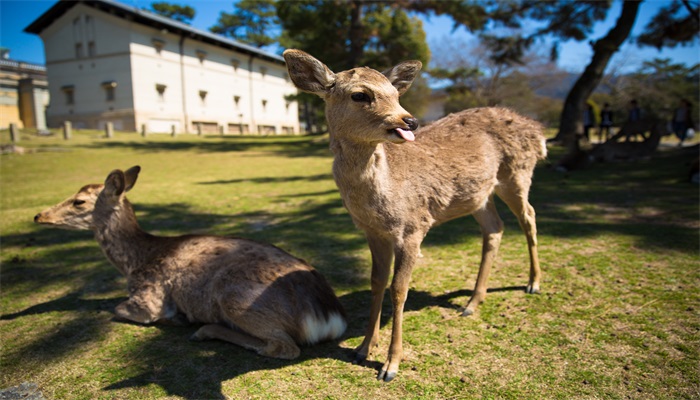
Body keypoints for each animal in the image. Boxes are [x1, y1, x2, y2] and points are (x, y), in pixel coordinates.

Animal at [35, 166, 348, 360]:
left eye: (78, 201)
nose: (39, 215)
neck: (133, 263)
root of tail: (329, 317)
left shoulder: (147, 295)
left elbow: (120, 309)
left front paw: (172, 317)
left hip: (236, 298)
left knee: (282, 347)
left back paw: (201, 329)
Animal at [284, 50, 548, 382]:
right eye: (360, 94)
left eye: (396, 94)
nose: (410, 120)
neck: (384, 198)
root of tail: (539, 132)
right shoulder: (372, 232)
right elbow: (376, 283)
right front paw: (362, 349)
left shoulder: (414, 227)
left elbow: (398, 290)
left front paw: (390, 366)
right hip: (480, 195)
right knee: (495, 228)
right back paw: (472, 302)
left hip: (517, 173)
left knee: (529, 216)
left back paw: (533, 283)